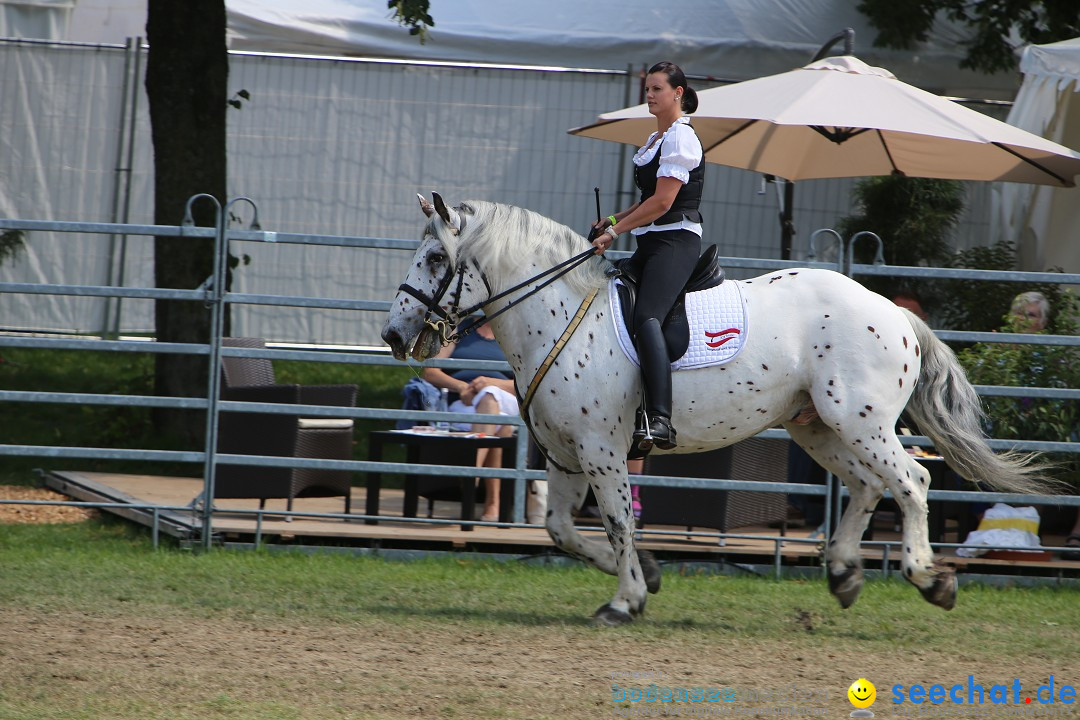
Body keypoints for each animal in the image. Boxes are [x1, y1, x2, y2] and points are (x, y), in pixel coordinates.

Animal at [380, 193, 1045, 626]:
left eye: (435, 260)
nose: (392, 335)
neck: (559, 316)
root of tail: (895, 312)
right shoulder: (566, 457)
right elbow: (563, 530)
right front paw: (646, 576)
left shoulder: (601, 450)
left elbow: (617, 521)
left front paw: (625, 600)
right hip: (819, 427)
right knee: (867, 486)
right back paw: (843, 573)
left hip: (861, 420)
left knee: (911, 482)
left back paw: (928, 578)